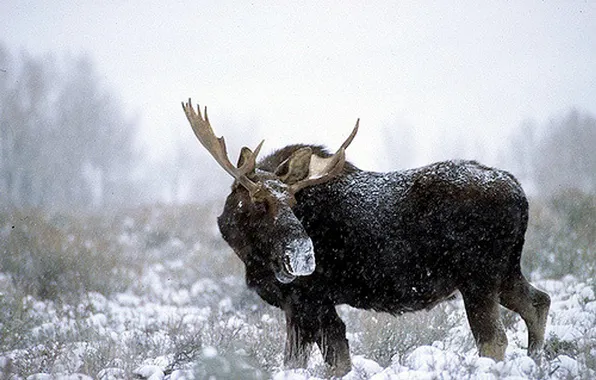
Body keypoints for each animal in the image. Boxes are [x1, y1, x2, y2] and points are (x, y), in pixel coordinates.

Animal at [182, 98, 548, 378]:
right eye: (259, 202)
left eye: (293, 203)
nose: (302, 255)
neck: (248, 254)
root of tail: (520, 194)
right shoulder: (299, 304)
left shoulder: (308, 299)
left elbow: (330, 359)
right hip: (506, 272)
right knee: (538, 302)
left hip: (477, 278)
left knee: (494, 340)